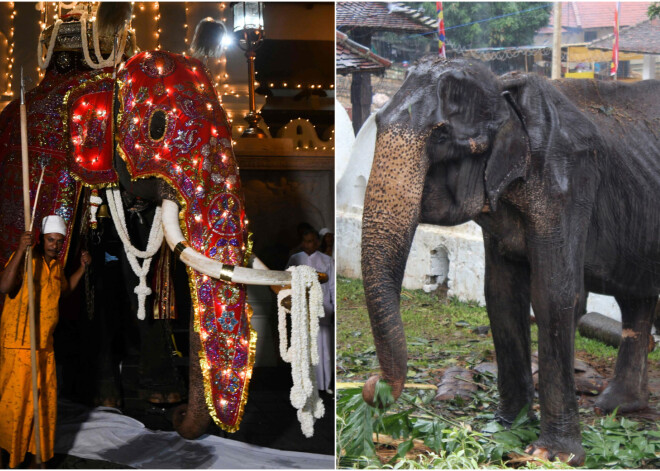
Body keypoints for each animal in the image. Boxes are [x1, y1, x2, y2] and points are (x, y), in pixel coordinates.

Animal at [0, 12, 296, 438]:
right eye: (157, 127)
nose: (178, 419)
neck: (102, 77)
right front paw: (115, 402)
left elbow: (139, 271)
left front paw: (162, 399)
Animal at [360, 57, 660, 466]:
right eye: (376, 123)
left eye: (441, 136)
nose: (372, 387)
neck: (505, 90)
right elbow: (500, 294)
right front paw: (505, 427)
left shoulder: (567, 183)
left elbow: (555, 295)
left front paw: (551, 455)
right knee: (635, 298)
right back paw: (616, 406)